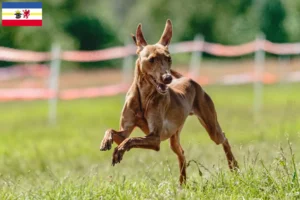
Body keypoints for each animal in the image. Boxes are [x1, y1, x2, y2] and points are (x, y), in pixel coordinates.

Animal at [99, 19, 238, 184]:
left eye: (169, 58)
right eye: (151, 59)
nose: (167, 78)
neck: (144, 98)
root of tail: (187, 78)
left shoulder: (155, 138)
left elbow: (131, 140)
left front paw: (119, 151)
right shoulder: (124, 131)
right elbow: (113, 131)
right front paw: (106, 141)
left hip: (211, 127)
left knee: (224, 138)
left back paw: (234, 166)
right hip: (174, 137)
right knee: (182, 154)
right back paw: (182, 183)